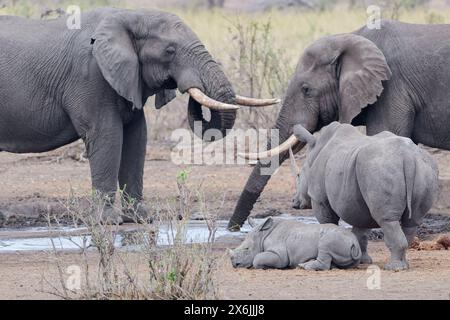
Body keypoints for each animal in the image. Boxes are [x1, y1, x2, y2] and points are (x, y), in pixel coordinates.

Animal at [0, 6, 278, 222]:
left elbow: (137, 137)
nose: (188, 87)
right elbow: (108, 135)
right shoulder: (90, 75)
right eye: (170, 51)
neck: (131, 15)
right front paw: (108, 222)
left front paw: (140, 219)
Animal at [290, 122, 438, 270]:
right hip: (424, 169)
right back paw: (403, 264)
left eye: (299, 175)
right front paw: (363, 261)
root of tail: (407, 156)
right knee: (411, 222)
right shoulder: (360, 201)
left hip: (380, 168)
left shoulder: (319, 198)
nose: (294, 202)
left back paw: (393, 267)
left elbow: (328, 224)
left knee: (387, 220)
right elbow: (361, 230)